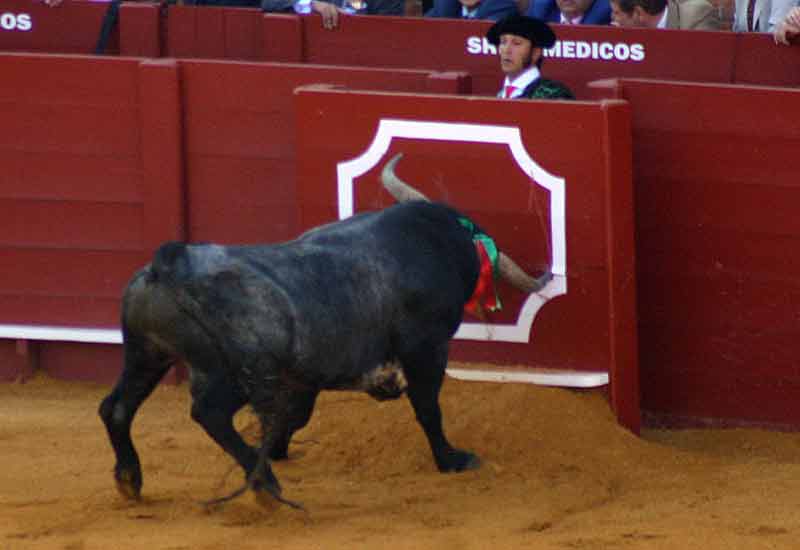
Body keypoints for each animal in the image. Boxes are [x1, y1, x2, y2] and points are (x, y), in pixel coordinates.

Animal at [98, 154, 552, 508]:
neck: (429, 238)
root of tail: (170, 263)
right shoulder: (426, 346)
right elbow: (428, 406)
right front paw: (452, 460)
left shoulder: (304, 377)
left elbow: (292, 416)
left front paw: (279, 449)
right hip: (236, 372)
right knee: (208, 412)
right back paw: (264, 486)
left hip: (146, 353)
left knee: (116, 406)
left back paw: (130, 478)